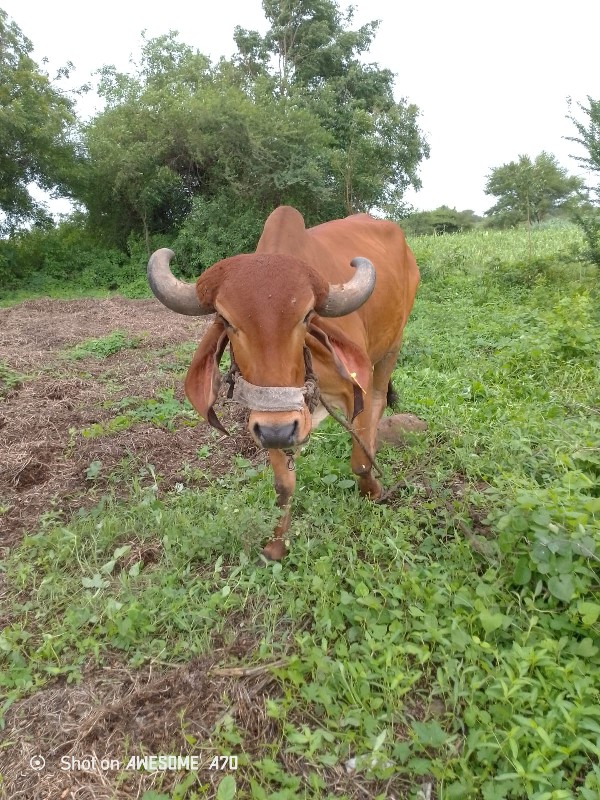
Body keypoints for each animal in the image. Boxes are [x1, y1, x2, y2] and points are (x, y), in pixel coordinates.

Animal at [147, 206, 419, 561]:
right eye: (226, 320)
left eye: (306, 316)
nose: (279, 430)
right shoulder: (270, 421)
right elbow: (283, 485)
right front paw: (277, 544)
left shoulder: (355, 385)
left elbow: (360, 460)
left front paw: (372, 491)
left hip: (391, 347)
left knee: (378, 403)